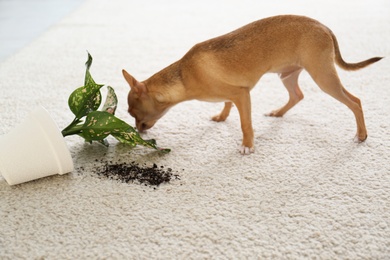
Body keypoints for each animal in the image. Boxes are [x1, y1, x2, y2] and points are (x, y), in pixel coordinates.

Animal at [122, 14, 380, 154]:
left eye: (134, 114)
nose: (137, 130)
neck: (184, 76)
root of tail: (323, 26)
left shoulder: (241, 95)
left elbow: (245, 124)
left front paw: (247, 145)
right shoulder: (232, 95)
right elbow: (226, 105)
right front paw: (222, 117)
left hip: (323, 77)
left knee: (355, 101)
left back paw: (361, 135)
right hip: (287, 75)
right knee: (297, 95)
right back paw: (278, 112)